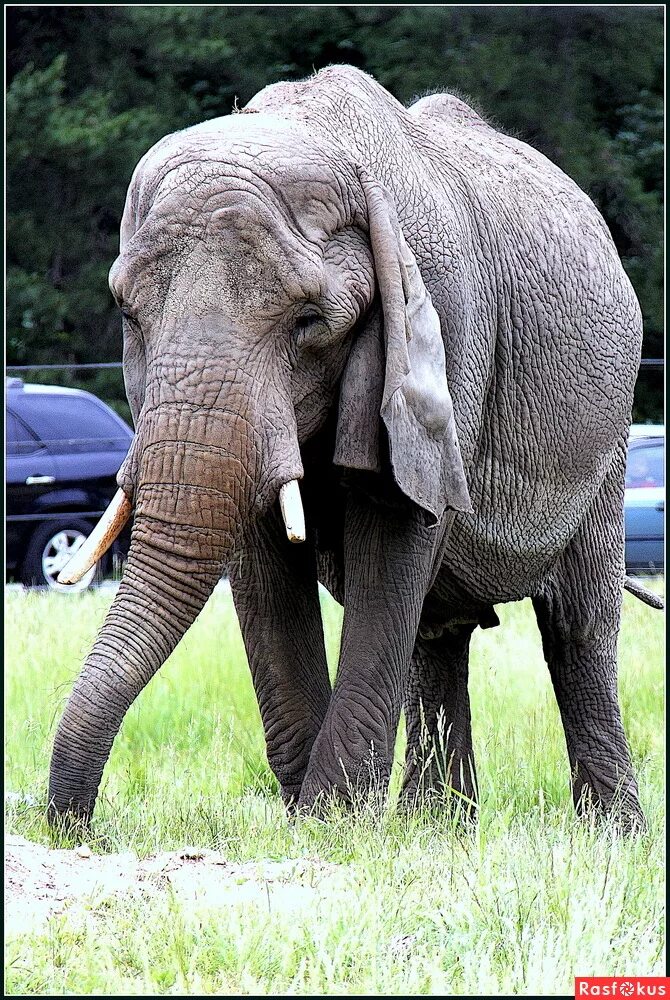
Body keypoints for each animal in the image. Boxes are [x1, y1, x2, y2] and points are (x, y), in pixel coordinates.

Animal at [48, 66, 660, 832]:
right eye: (129, 314)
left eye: (310, 323)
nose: (78, 822)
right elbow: (264, 566)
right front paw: (319, 818)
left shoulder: (447, 327)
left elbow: (392, 541)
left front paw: (330, 819)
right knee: (437, 632)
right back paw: (437, 828)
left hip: (608, 439)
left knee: (577, 628)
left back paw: (610, 833)